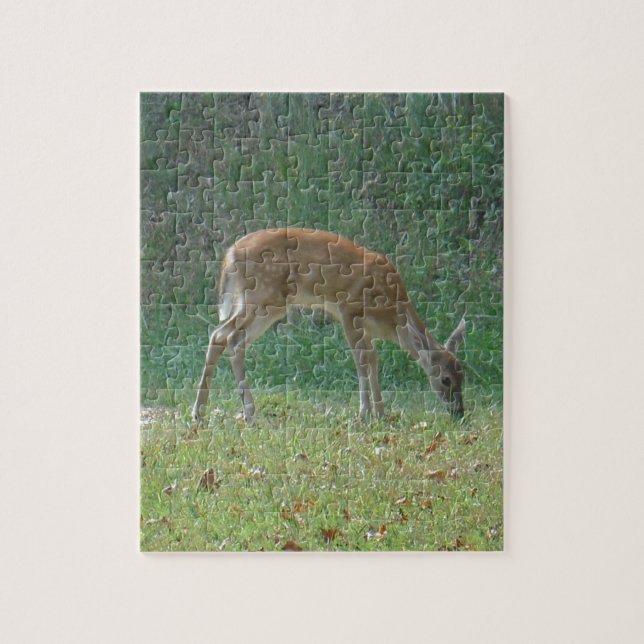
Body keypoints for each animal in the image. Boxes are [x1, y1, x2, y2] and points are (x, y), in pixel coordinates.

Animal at [192, 228, 466, 423]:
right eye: (445, 380)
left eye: (463, 376)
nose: (459, 413)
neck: (390, 315)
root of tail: (230, 255)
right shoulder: (348, 310)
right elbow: (361, 360)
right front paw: (364, 414)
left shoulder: (367, 328)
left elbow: (374, 361)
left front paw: (381, 413)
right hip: (265, 296)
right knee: (231, 338)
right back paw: (249, 414)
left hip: (260, 301)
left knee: (220, 335)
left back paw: (200, 413)